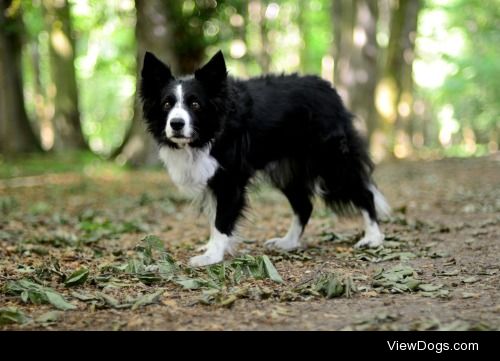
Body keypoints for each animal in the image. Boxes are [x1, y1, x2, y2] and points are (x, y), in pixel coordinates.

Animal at [140, 50, 390, 264]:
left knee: (365, 193)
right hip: (288, 169)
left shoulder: (230, 180)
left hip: (331, 161)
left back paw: (373, 237)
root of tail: (330, 90)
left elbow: (221, 219)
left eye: (195, 104)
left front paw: (212, 255)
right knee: (304, 205)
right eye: (166, 104)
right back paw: (288, 242)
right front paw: (212, 247)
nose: (176, 124)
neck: (210, 132)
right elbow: (214, 217)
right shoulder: (213, 178)